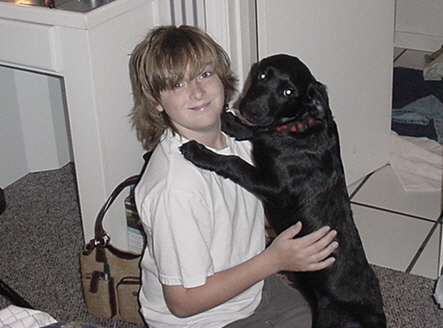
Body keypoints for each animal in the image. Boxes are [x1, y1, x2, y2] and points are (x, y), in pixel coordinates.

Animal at [182, 55, 386, 326]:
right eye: (262, 75)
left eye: (288, 92)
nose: (251, 109)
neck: (296, 126)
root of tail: (377, 318)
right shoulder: (264, 132)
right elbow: (254, 131)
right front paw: (229, 121)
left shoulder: (276, 189)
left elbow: (235, 163)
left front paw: (199, 152)